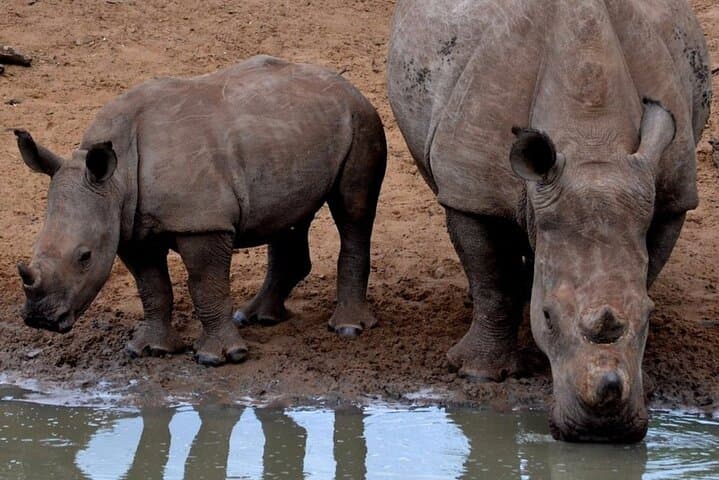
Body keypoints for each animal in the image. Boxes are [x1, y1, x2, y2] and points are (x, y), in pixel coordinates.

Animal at [15, 55, 387, 366]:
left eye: (85, 257)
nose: (39, 319)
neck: (116, 181)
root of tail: (347, 84)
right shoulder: (129, 227)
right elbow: (152, 287)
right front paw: (149, 350)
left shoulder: (202, 222)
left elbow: (206, 285)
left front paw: (220, 357)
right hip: (294, 132)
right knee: (288, 215)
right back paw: (257, 317)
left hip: (361, 120)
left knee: (353, 211)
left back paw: (348, 328)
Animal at [388, 0, 711, 442]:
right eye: (547, 317)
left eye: (650, 315)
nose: (601, 431)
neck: (592, 142)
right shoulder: (471, 189)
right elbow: (491, 279)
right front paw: (478, 374)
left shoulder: (673, 195)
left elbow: (648, 270)